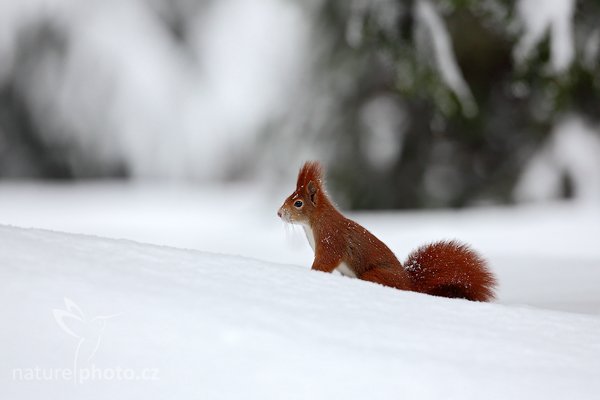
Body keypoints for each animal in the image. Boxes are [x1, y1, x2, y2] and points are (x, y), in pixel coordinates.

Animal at [278, 161, 500, 302]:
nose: (279, 213)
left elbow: (325, 262)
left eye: (298, 203)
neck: (314, 222)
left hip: (376, 275)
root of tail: (409, 285)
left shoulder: (331, 239)